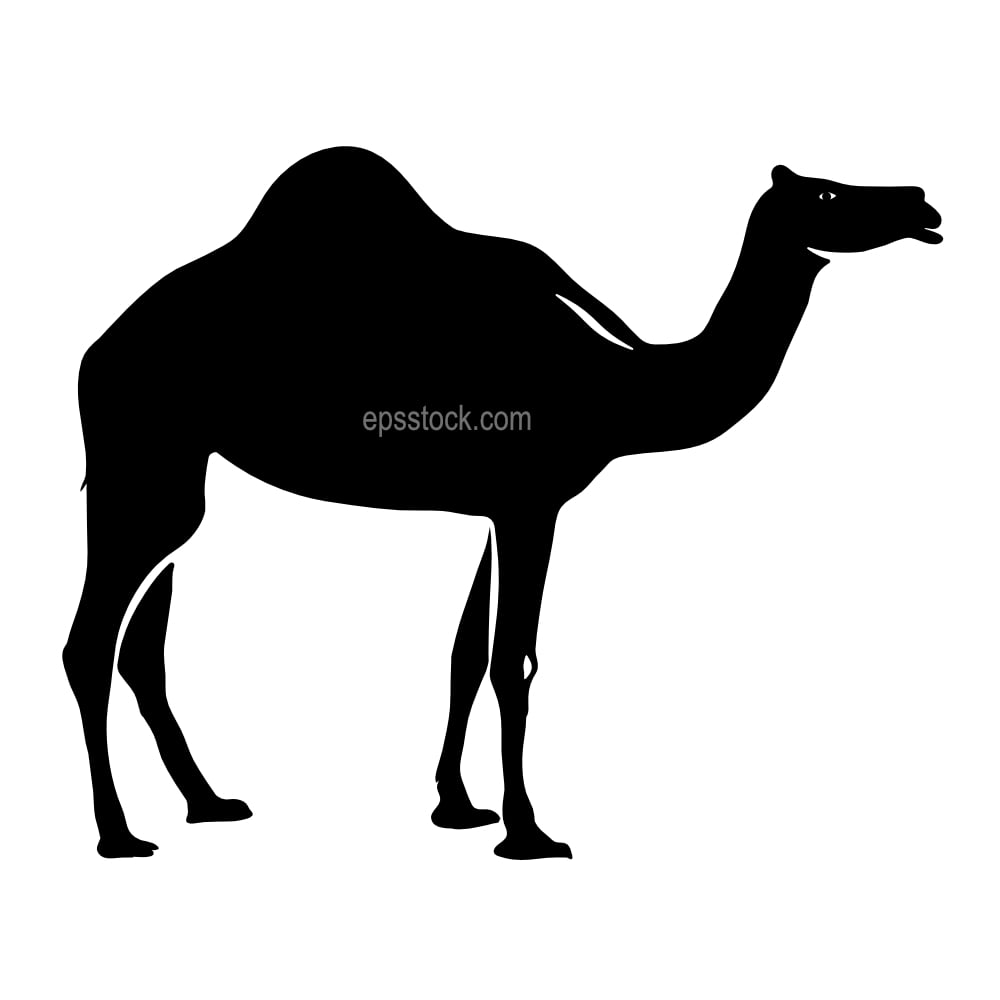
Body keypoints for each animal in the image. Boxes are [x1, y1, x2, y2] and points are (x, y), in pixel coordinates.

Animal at [63, 148, 942, 859]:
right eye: (826, 193)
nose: (922, 202)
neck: (618, 387)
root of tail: (94, 354)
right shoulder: (532, 502)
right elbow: (513, 660)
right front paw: (530, 831)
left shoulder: (498, 507)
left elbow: (464, 654)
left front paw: (458, 807)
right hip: (146, 461)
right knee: (90, 644)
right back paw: (118, 835)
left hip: (177, 474)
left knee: (143, 644)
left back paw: (208, 803)